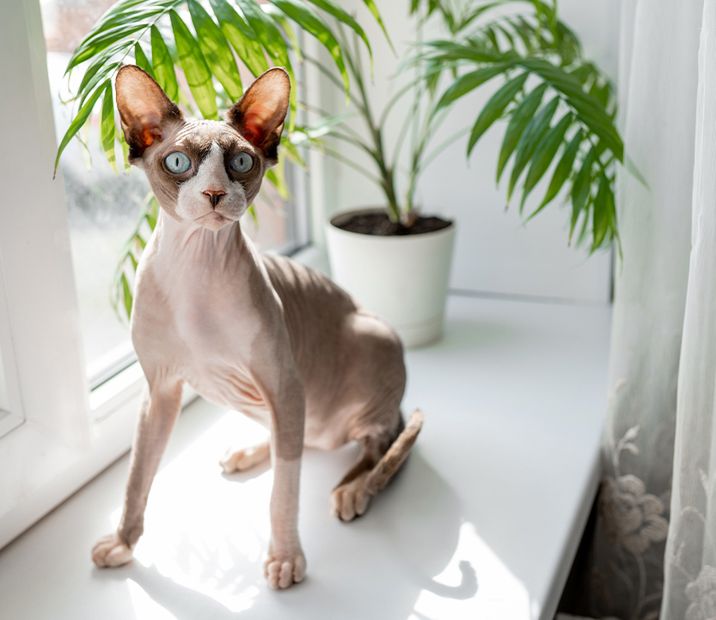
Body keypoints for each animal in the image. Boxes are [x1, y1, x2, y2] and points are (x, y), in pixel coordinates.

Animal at [91, 65, 422, 588]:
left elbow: (284, 489)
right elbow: (137, 475)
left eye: (242, 161)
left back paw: (355, 488)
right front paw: (123, 542)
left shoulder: (283, 382)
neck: (196, 273)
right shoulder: (159, 390)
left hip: (372, 337)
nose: (213, 194)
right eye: (178, 161)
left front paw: (286, 556)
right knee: (300, 436)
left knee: (379, 440)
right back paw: (251, 451)